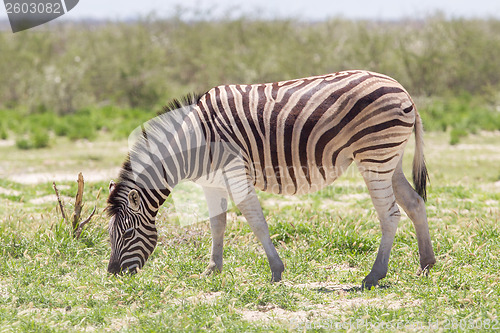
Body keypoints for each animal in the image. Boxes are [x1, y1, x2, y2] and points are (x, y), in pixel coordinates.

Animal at [107, 70, 436, 288]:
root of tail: (401, 88)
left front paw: (276, 271)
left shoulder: (235, 173)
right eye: (110, 235)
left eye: (127, 234)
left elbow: (255, 220)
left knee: (390, 214)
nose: (113, 274)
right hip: (390, 159)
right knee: (414, 203)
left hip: (374, 156)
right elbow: (217, 225)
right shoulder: (213, 183)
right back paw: (426, 265)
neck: (193, 144)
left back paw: (374, 275)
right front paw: (212, 269)